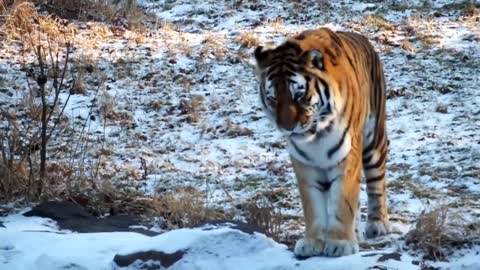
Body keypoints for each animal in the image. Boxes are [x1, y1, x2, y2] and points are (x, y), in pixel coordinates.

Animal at [253, 28, 392, 258]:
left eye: (299, 95)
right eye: (273, 99)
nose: (287, 127)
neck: (316, 136)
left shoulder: (347, 157)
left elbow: (342, 202)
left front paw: (340, 243)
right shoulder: (305, 165)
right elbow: (314, 206)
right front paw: (312, 242)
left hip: (374, 140)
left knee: (376, 182)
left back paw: (377, 224)